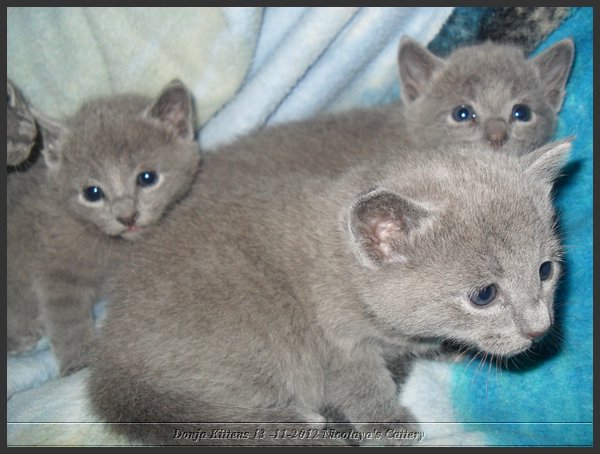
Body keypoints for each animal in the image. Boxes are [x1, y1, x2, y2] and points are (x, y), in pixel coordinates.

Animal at [6, 80, 202, 374]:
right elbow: (66, 317)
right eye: (92, 193)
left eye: (147, 177)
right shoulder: (53, 266)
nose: (127, 216)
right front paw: (79, 361)